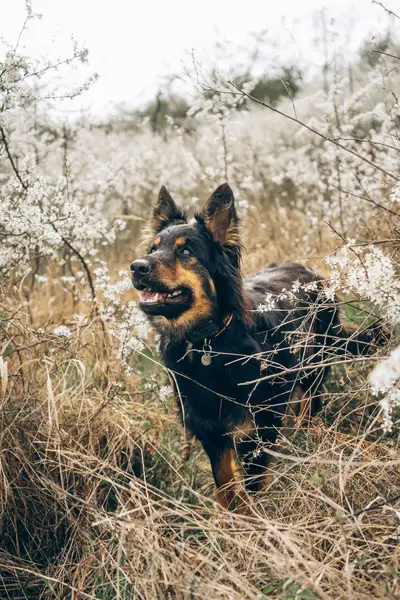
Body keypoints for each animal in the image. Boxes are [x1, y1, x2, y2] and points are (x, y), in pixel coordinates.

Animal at [131, 183, 384, 510]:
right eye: (152, 249)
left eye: (185, 252)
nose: (136, 267)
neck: (209, 343)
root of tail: (314, 275)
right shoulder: (209, 428)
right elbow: (225, 483)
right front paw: (229, 518)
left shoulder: (259, 425)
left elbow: (252, 483)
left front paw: (254, 517)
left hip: (313, 367)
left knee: (310, 405)